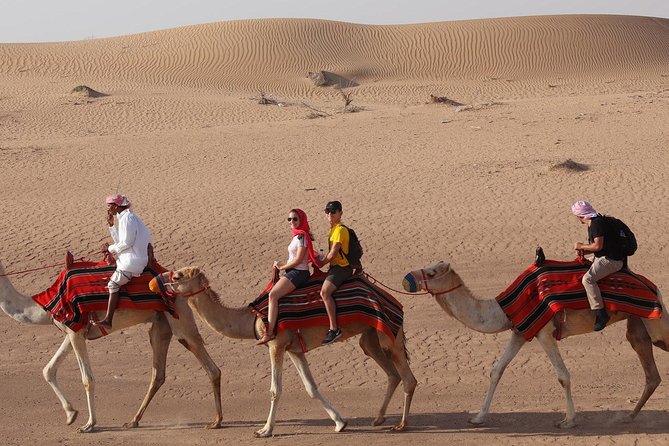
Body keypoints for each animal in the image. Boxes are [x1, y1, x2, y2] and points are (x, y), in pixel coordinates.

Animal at [0, 258, 223, 433]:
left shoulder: (75, 331)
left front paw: (89, 424)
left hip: (180, 317)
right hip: (161, 325)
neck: (43, 307)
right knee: (158, 373)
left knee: (210, 366)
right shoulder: (74, 331)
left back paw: (217, 422)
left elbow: (87, 379)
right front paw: (71, 414)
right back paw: (133, 421)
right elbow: (48, 370)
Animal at [148, 267, 417, 438]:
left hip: (388, 334)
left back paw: (402, 425)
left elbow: (275, 390)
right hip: (370, 337)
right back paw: (379, 419)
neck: (252, 318)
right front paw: (340, 423)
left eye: (178, 274)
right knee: (391, 373)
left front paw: (264, 430)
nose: (155, 283)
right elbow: (311, 388)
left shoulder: (276, 344)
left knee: (408, 378)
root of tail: (393, 299)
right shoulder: (294, 349)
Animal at [402, 258, 669, 428]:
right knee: (651, 374)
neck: (502, 308)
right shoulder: (519, 332)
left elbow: (563, 376)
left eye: (432, 272)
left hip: (655, 321)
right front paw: (478, 417)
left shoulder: (544, 332)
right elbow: (496, 370)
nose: (407, 278)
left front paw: (568, 420)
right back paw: (629, 417)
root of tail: (654, 288)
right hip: (637, 326)